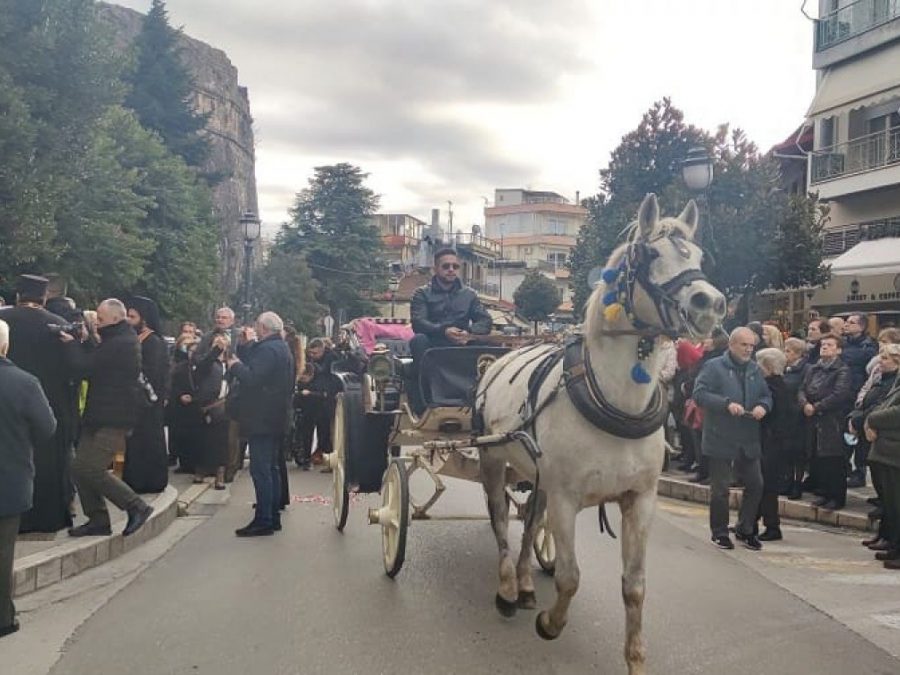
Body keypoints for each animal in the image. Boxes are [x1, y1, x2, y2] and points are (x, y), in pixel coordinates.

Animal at [478, 193, 724, 672]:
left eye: (700, 256)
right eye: (649, 255)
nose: (711, 303)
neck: (615, 401)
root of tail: (496, 361)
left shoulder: (640, 499)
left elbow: (635, 586)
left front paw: (636, 658)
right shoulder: (566, 498)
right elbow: (570, 577)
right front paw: (550, 624)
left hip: (537, 476)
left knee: (529, 518)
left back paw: (526, 584)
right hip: (494, 460)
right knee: (500, 521)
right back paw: (506, 589)